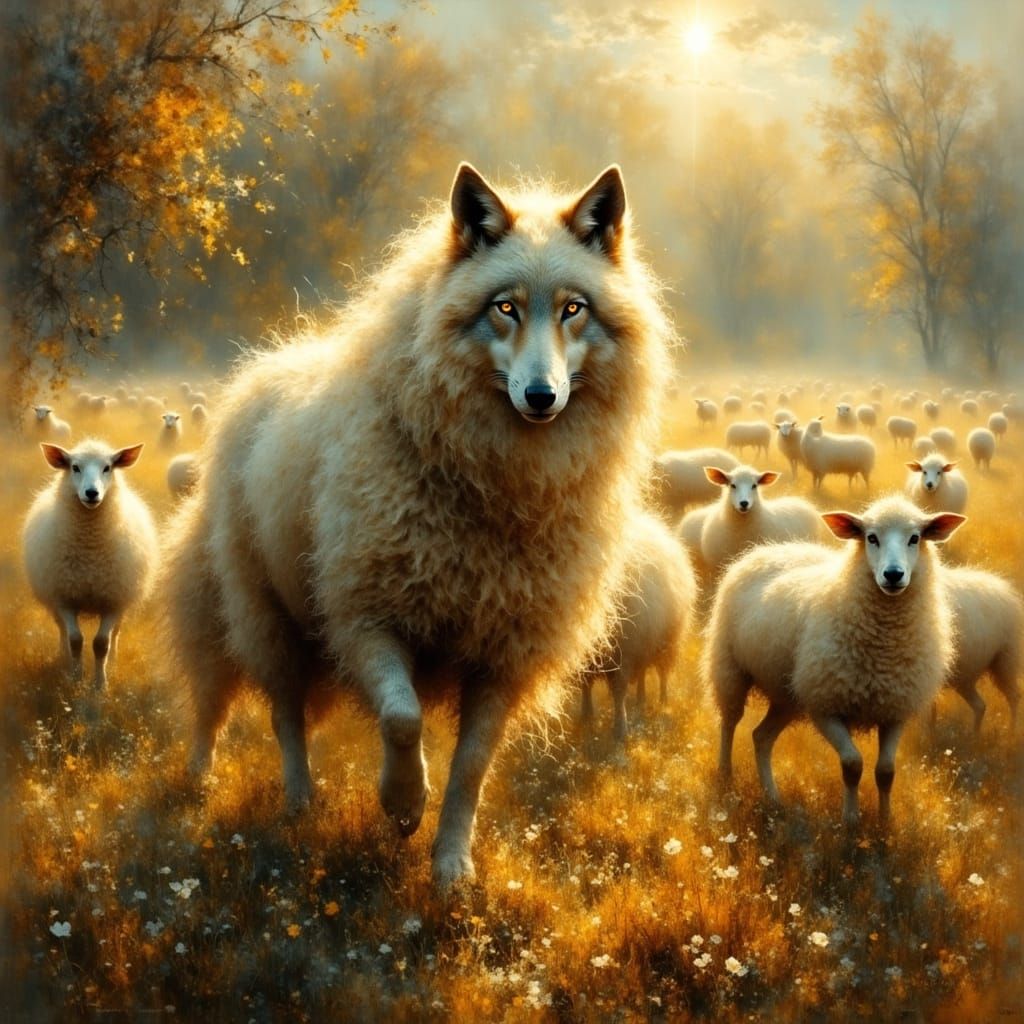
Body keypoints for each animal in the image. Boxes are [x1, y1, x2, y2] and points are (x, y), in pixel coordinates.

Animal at [22, 440, 158, 690]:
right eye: (75, 467)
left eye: (107, 468)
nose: (92, 493)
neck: (89, 553)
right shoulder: (64, 598)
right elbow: (75, 640)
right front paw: (76, 679)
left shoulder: (113, 600)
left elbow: (101, 643)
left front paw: (100, 685)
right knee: (61, 630)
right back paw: (63, 658)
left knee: (116, 633)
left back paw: (113, 663)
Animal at [163, 162, 673, 887]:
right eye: (505, 308)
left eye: (574, 308)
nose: (540, 396)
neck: (496, 491)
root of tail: (271, 363)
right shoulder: (366, 616)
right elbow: (402, 718)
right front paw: (401, 803)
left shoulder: (505, 656)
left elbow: (472, 769)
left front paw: (451, 865)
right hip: (266, 617)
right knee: (282, 716)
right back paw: (294, 802)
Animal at [581, 514, 697, 741]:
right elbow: (586, 687)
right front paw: (586, 717)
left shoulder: (623, 654)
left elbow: (618, 692)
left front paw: (620, 730)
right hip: (644, 642)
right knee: (643, 671)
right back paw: (641, 699)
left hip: (665, 642)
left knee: (662, 674)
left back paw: (663, 702)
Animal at [705, 495, 965, 823]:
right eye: (871, 538)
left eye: (915, 538)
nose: (893, 574)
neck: (883, 648)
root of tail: (769, 549)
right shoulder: (825, 706)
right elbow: (852, 765)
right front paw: (851, 821)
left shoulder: (894, 710)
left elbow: (886, 772)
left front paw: (885, 822)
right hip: (731, 669)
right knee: (729, 722)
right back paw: (725, 774)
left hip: (788, 694)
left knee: (761, 737)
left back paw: (773, 798)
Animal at [935, 567, 1022, 732]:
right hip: (966, 676)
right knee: (980, 706)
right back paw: (973, 735)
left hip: (1004, 662)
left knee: (1013, 697)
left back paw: (1012, 731)